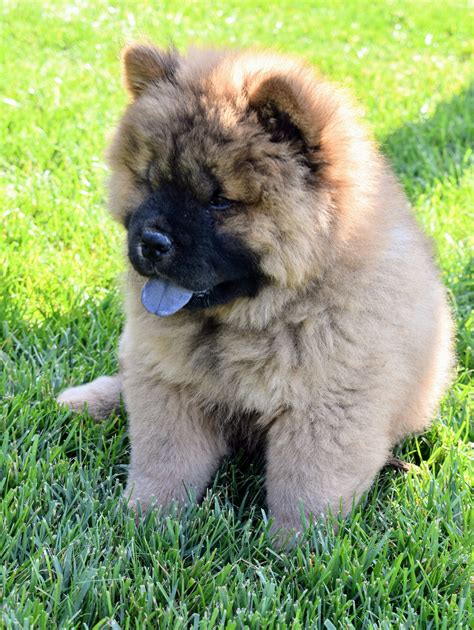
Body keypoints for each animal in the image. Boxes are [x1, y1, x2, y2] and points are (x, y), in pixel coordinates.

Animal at [57, 44, 454, 540]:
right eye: (150, 181)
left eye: (219, 201)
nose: (150, 241)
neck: (257, 318)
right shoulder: (169, 384)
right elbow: (163, 461)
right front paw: (145, 522)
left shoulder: (327, 404)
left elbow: (307, 484)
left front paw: (295, 548)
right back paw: (87, 400)